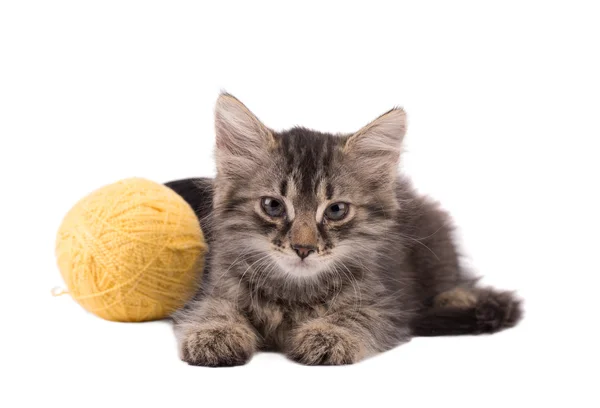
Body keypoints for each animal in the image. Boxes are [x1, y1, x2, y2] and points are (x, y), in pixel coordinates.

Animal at [168, 93, 520, 366]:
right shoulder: (212, 289)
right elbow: (215, 309)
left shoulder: (388, 304)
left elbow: (356, 315)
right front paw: (216, 333)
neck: (295, 292)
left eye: (336, 210)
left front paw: (327, 335)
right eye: (273, 206)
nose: (303, 248)